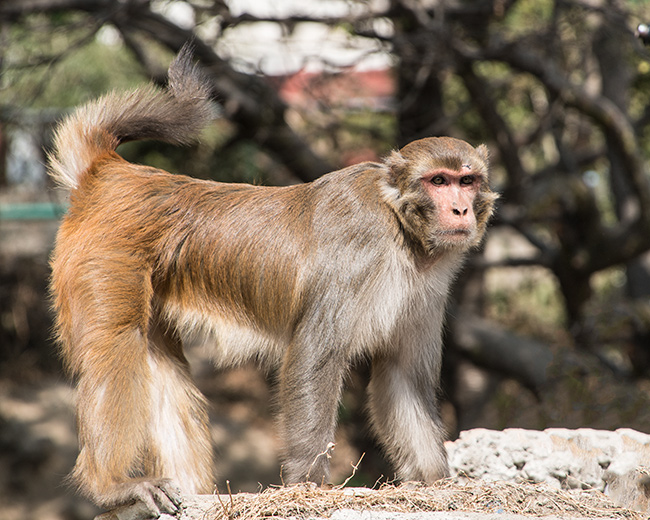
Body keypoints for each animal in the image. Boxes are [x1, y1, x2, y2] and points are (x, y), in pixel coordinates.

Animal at [46, 45, 496, 520]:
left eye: (467, 181)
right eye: (438, 181)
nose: (461, 210)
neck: (402, 230)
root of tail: (112, 173)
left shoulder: (426, 291)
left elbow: (403, 375)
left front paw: (438, 485)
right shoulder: (360, 248)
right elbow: (314, 356)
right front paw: (307, 486)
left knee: (160, 362)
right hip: (105, 256)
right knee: (117, 343)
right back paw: (114, 486)